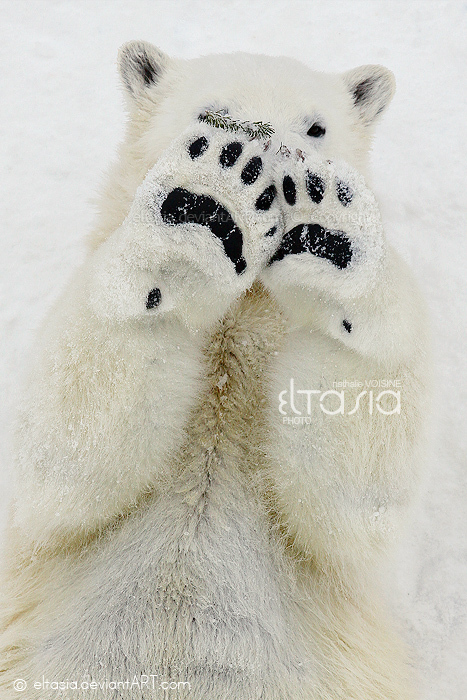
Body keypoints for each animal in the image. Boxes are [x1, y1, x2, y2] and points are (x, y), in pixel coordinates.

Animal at [0, 42, 430, 700]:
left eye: (316, 127)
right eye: (215, 116)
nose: (268, 155)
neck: (241, 319)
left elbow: (351, 506)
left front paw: (328, 228)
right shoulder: (42, 528)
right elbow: (63, 461)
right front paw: (202, 210)